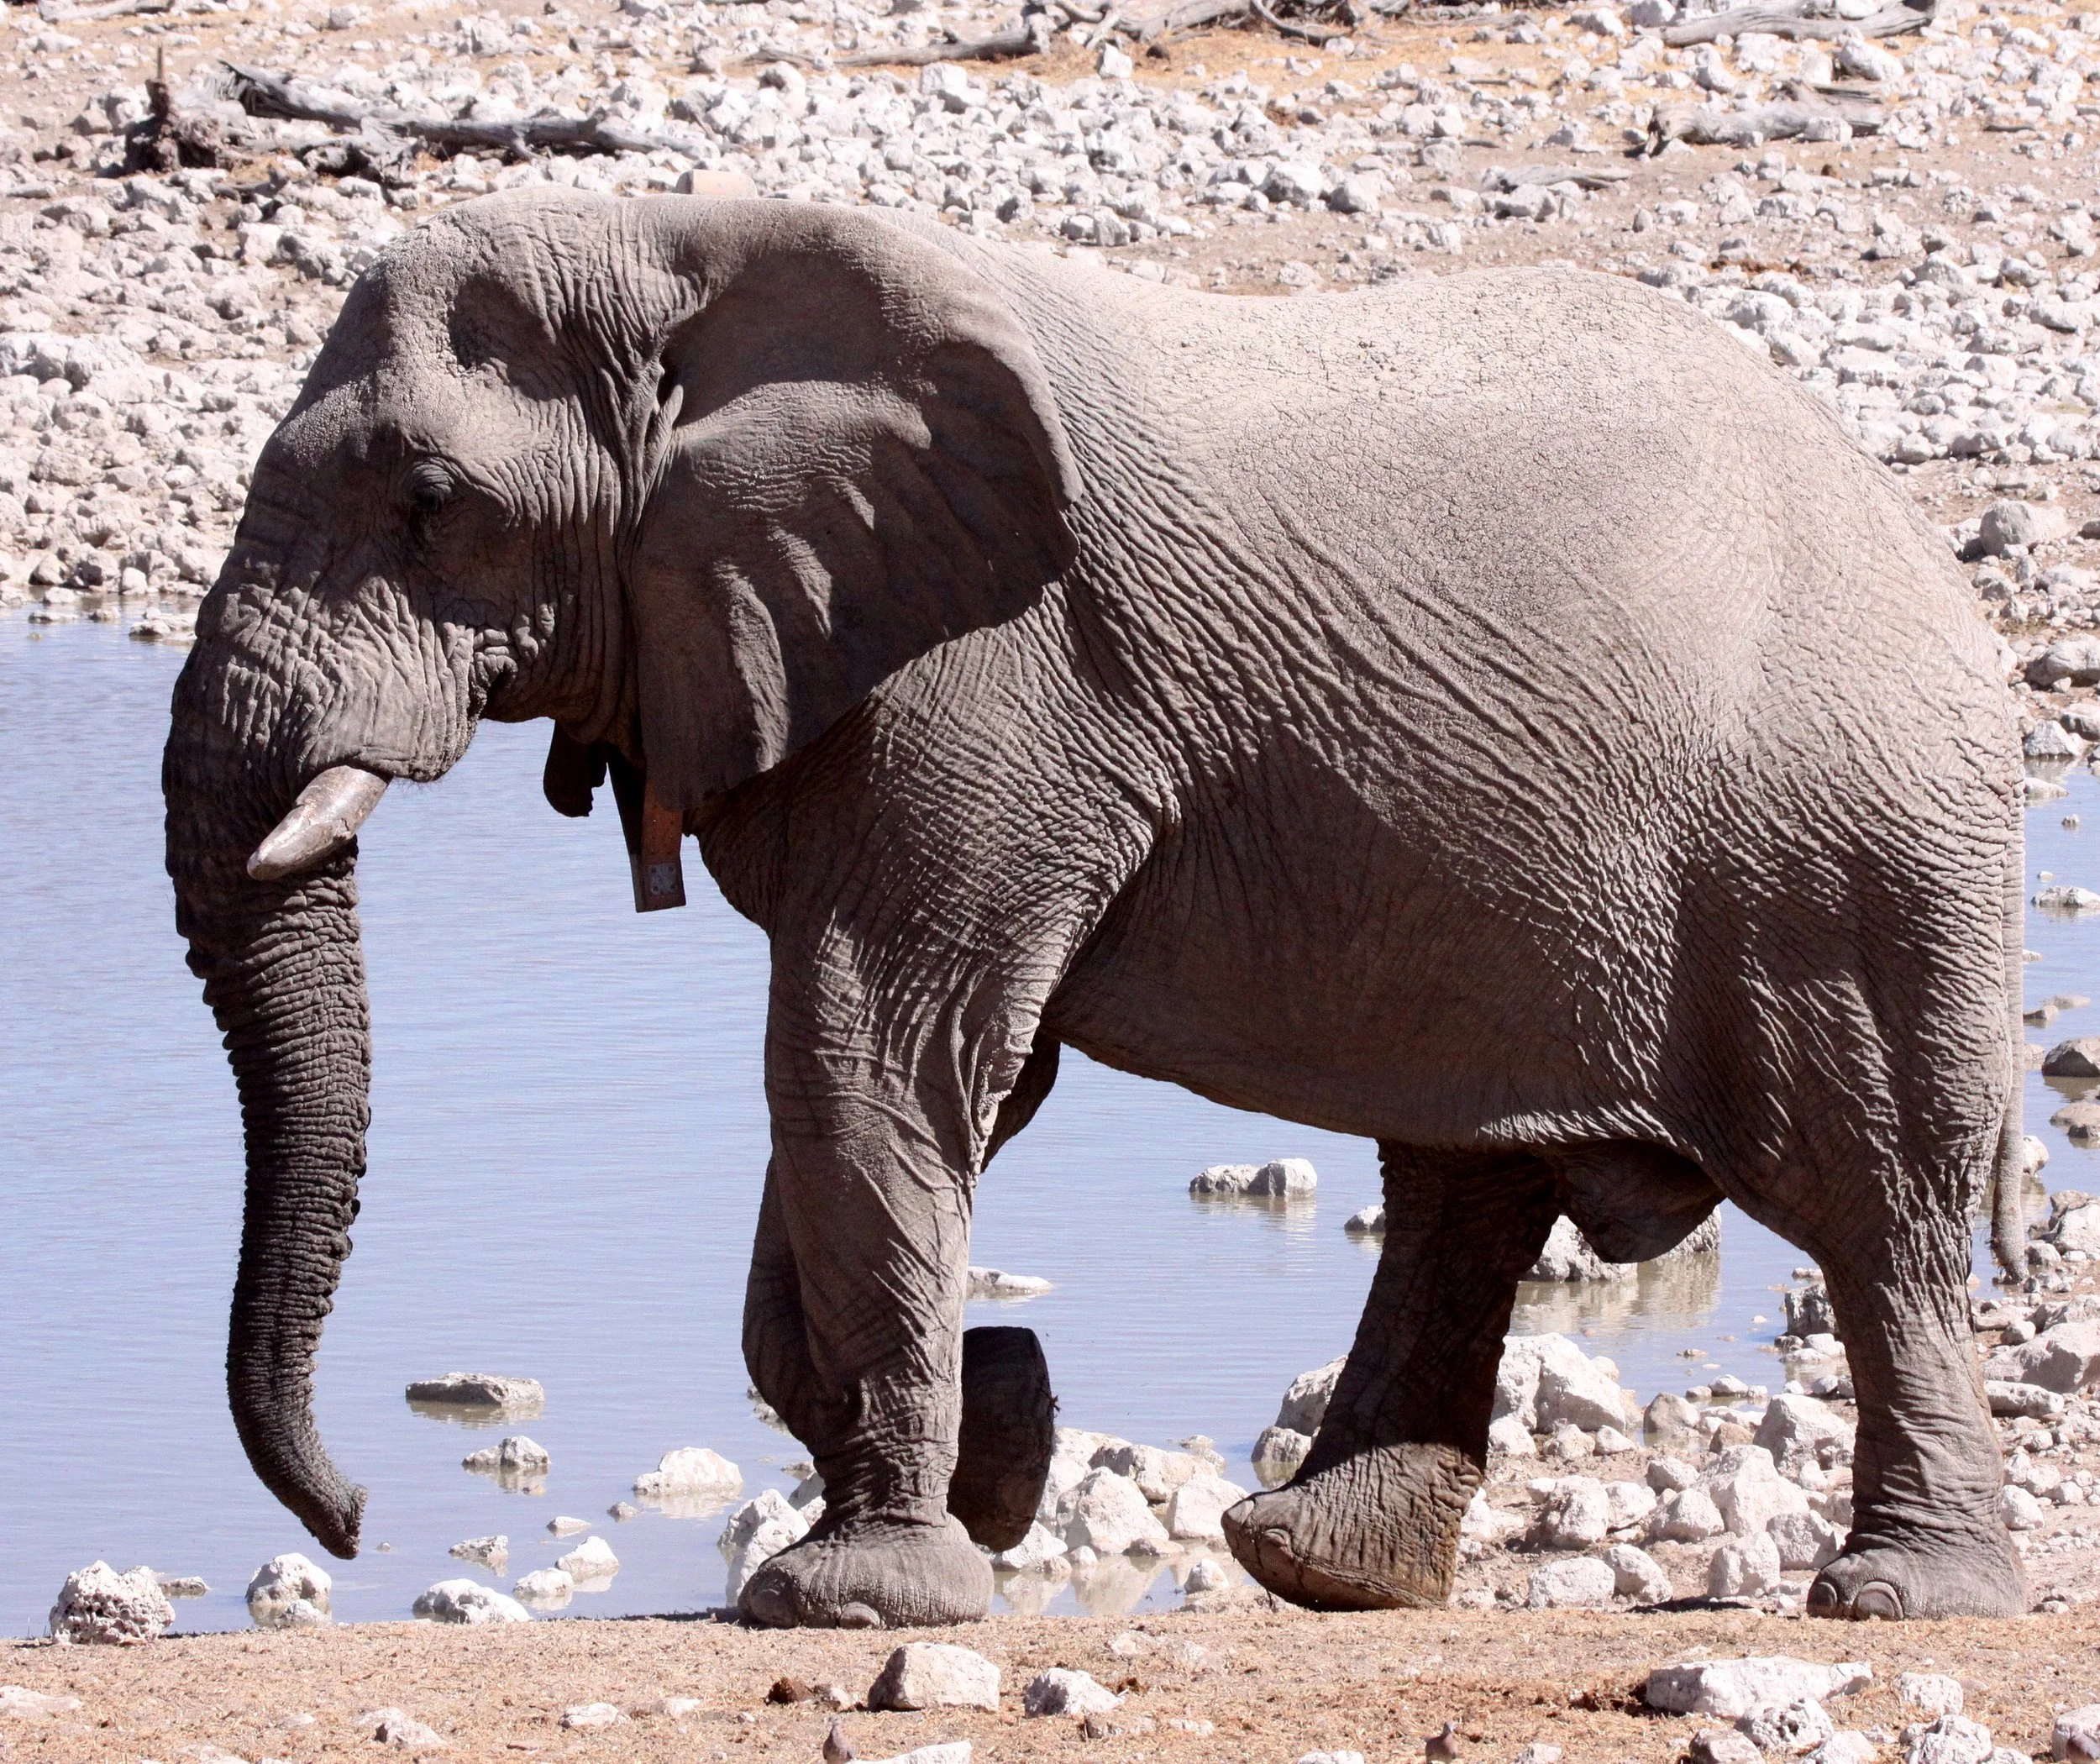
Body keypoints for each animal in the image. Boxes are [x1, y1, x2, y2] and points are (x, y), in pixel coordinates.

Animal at [164, 185, 2028, 1631]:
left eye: (432, 508)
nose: (351, 1522)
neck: (683, 246)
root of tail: (1947, 587)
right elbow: (887, 1087)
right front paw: (1000, 1443)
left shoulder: (990, 686)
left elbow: (872, 1051)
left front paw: (858, 1592)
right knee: (1466, 1189)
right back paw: (1317, 1567)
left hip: (1850, 868)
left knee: (1881, 1214)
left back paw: (1898, 1597)